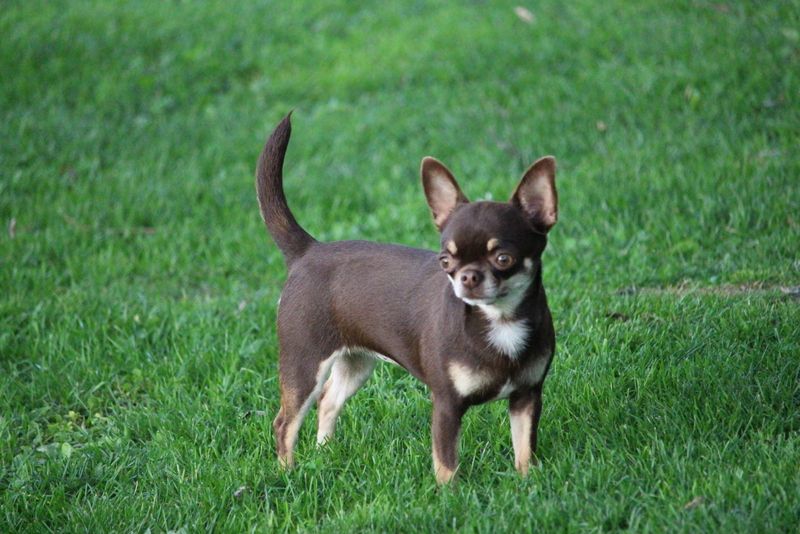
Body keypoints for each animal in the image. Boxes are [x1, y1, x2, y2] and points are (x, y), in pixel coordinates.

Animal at [255, 114, 556, 486]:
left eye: (503, 258)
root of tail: (308, 251)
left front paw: (529, 484)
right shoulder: (446, 405)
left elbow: (524, 449)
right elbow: (446, 462)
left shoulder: (526, 397)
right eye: (445, 261)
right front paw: (451, 496)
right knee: (285, 422)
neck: (500, 321)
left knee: (328, 402)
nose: (467, 277)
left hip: (355, 363)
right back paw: (288, 473)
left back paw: (324, 454)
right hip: (304, 364)